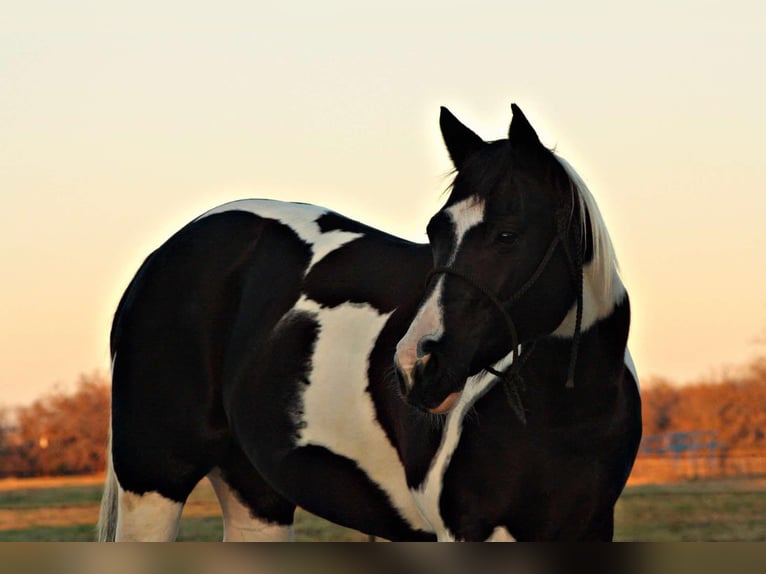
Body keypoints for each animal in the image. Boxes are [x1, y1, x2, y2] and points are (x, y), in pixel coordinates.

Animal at [97, 104, 641, 542]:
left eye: (508, 234)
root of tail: (166, 253)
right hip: (153, 479)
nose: (416, 366)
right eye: (435, 231)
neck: (566, 416)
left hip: (255, 495)